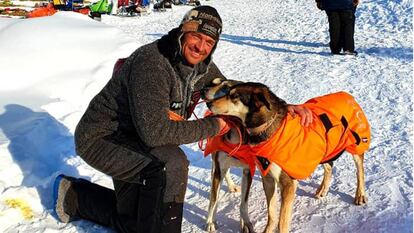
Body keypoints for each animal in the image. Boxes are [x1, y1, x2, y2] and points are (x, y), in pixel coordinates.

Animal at [201, 78, 368, 233]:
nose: (208, 104)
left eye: (234, 96)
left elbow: (282, 221)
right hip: (325, 150)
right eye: (228, 92)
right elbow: (272, 215)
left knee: (359, 169)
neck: (268, 128)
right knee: (330, 165)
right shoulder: (268, 178)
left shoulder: (288, 184)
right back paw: (322, 189)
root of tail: (346, 95)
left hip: (356, 145)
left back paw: (360, 194)